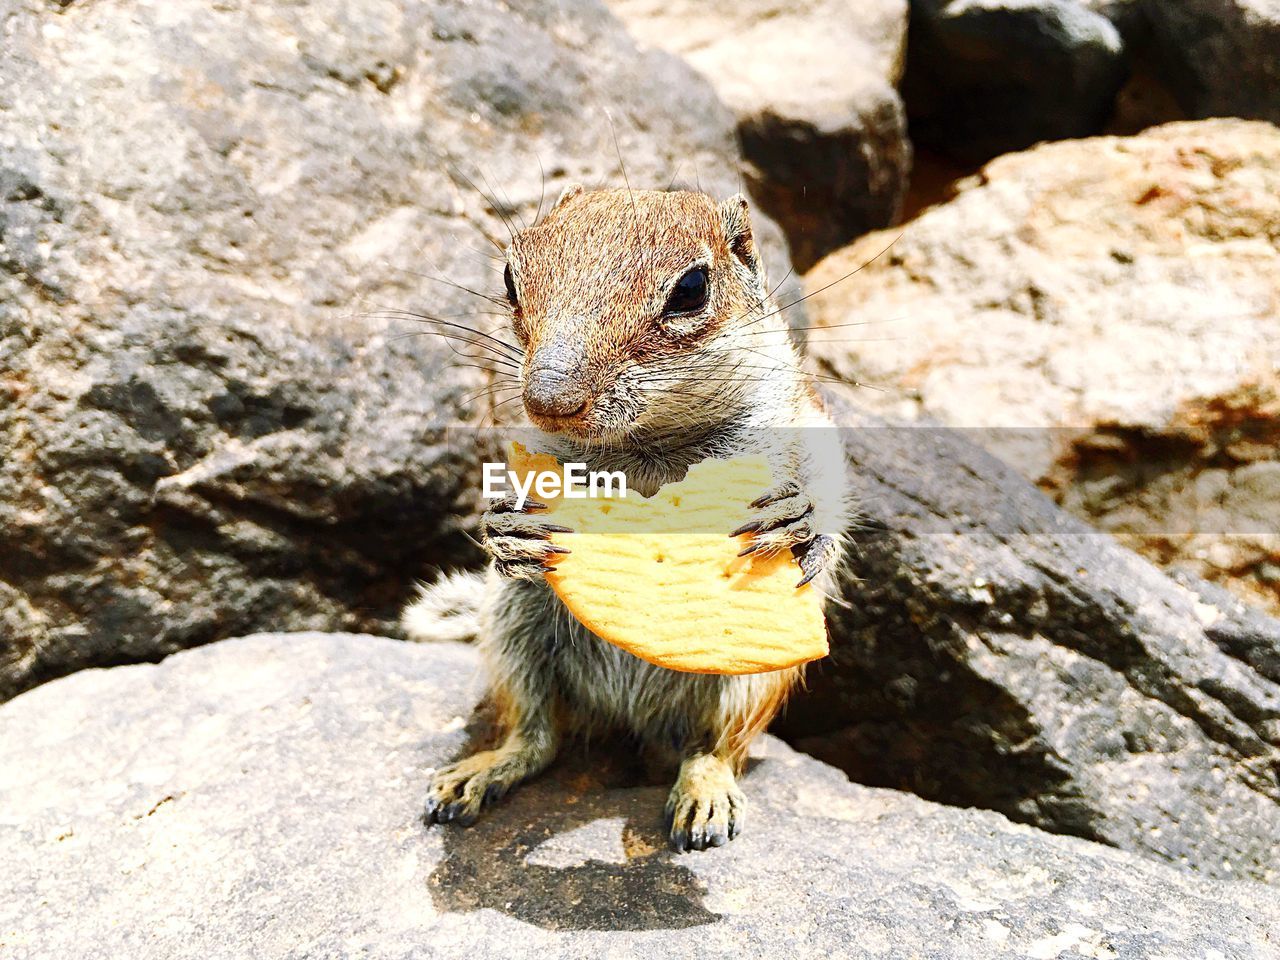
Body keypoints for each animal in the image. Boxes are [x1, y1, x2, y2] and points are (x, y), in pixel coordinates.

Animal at [404, 184, 849, 855]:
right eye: (510, 277)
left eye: (691, 288)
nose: (548, 399)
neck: (649, 444)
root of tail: (630, 718)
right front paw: (505, 529)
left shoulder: (802, 416)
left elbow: (833, 486)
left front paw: (802, 523)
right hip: (513, 624)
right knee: (537, 734)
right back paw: (482, 770)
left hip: (755, 675)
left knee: (717, 745)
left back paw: (705, 793)